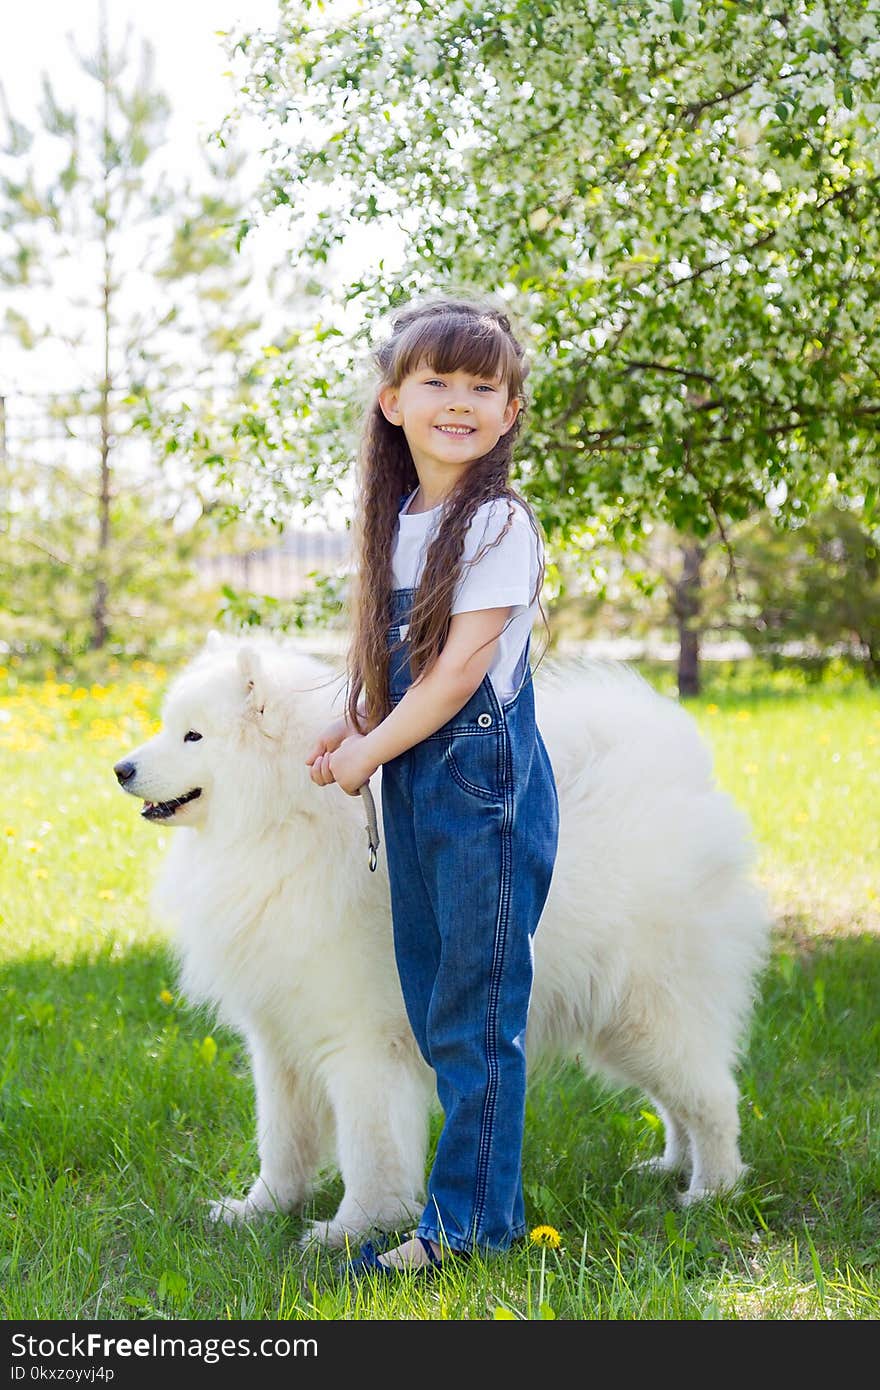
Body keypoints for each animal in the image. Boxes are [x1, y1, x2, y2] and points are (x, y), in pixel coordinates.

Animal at [114, 631, 767, 1251]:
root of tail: (685, 777)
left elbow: (369, 1148)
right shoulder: (279, 1042)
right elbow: (282, 1142)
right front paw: (259, 1211)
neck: (282, 822)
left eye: (194, 736)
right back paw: (669, 1167)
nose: (121, 769)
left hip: (649, 1012)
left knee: (712, 1097)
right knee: (678, 1102)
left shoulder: (361, 1043)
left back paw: (712, 1190)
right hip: (617, 1025)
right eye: (169, 727)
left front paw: (354, 1230)